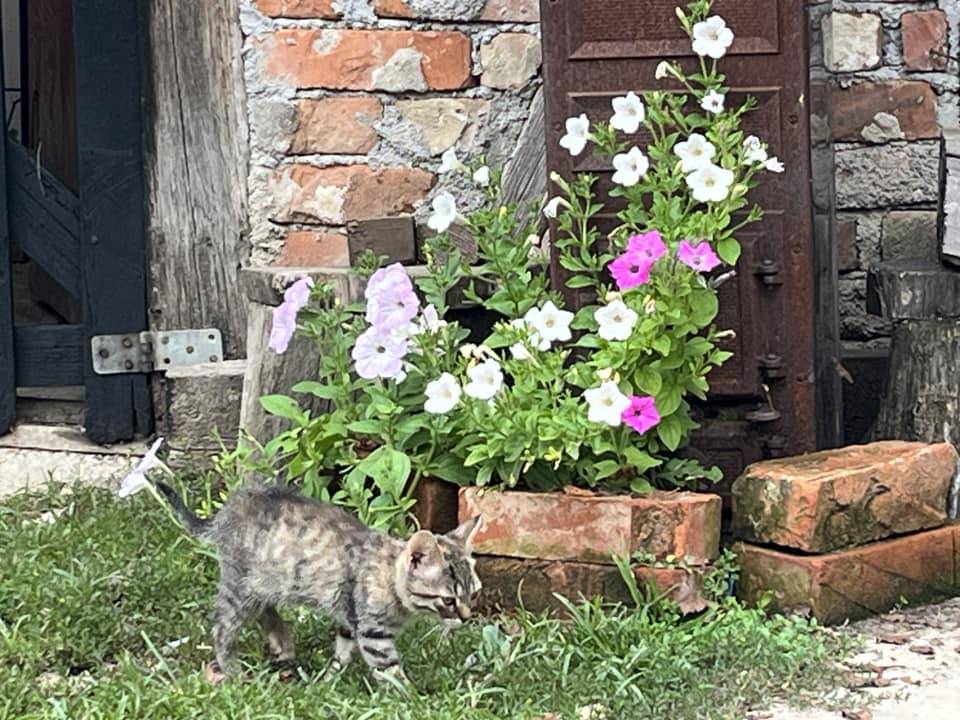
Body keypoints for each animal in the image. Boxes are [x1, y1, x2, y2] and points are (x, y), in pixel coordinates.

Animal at [160, 484, 484, 680]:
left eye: (474, 594)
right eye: (449, 600)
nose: (467, 618)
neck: (389, 576)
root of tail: (229, 508)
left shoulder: (349, 619)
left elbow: (341, 650)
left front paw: (329, 679)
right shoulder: (373, 634)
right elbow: (390, 671)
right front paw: (411, 699)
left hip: (264, 583)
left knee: (265, 610)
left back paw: (282, 643)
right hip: (239, 587)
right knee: (221, 626)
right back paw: (234, 672)